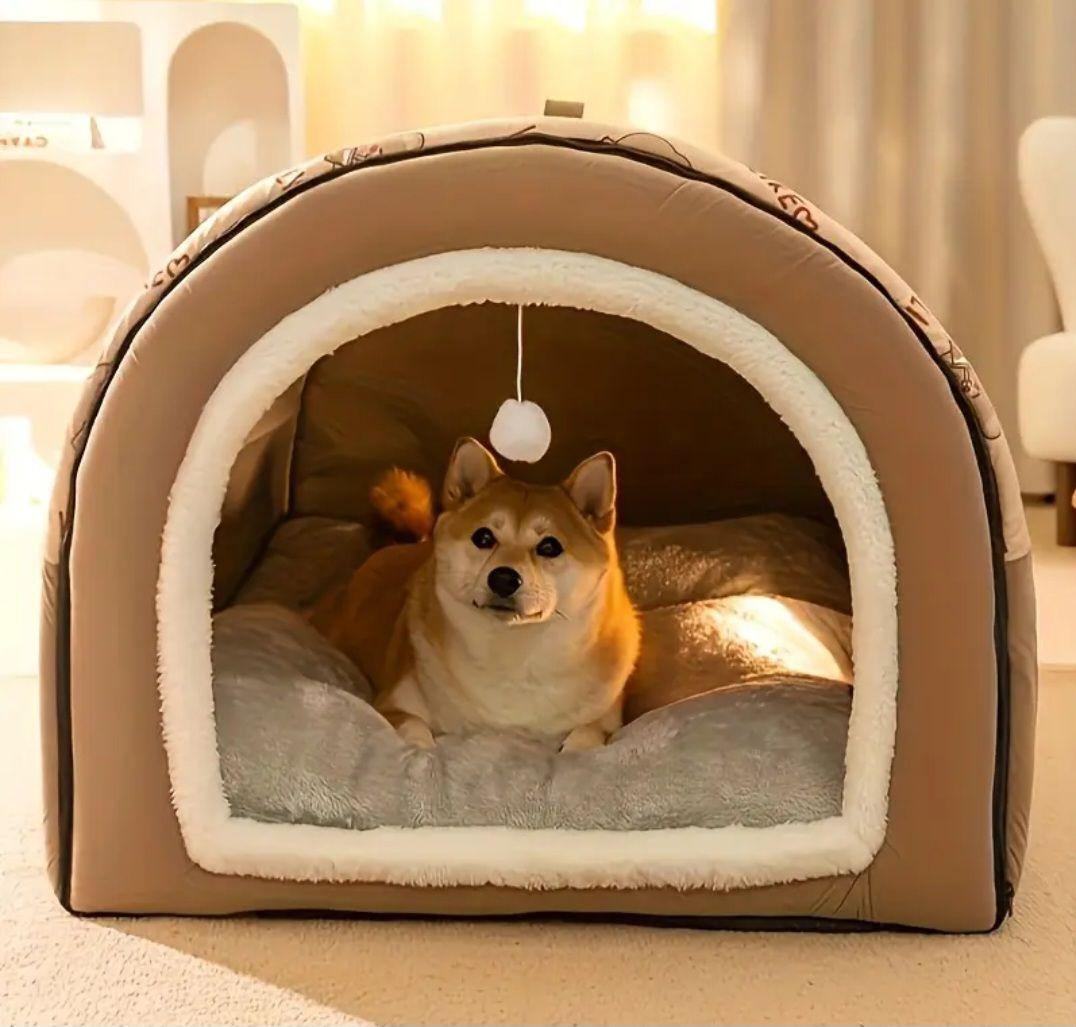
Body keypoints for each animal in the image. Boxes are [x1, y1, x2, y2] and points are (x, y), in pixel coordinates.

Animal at [308, 438, 640, 751]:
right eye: (483, 537)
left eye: (549, 546)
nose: (504, 578)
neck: (514, 653)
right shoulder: (392, 703)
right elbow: (413, 725)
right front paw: (421, 748)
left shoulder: (607, 718)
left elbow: (591, 732)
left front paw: (575, 747)